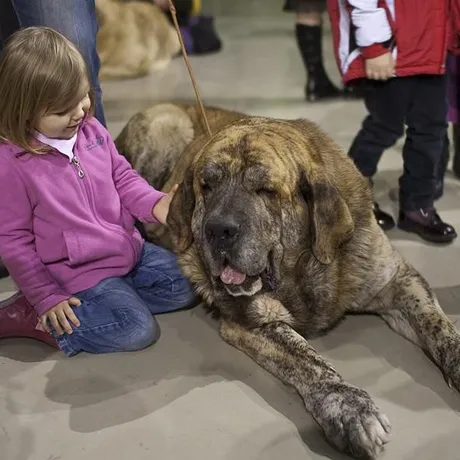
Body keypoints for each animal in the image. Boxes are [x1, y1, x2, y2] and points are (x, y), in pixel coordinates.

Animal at [114, 102, 460, 458]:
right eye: (206, 185)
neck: (303, 263)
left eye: (266, 190)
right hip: (167, 125)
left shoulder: (397, 280)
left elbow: (439, 325)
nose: (218, 230)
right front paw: (348, 407)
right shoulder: (253, 322)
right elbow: (308, 359)